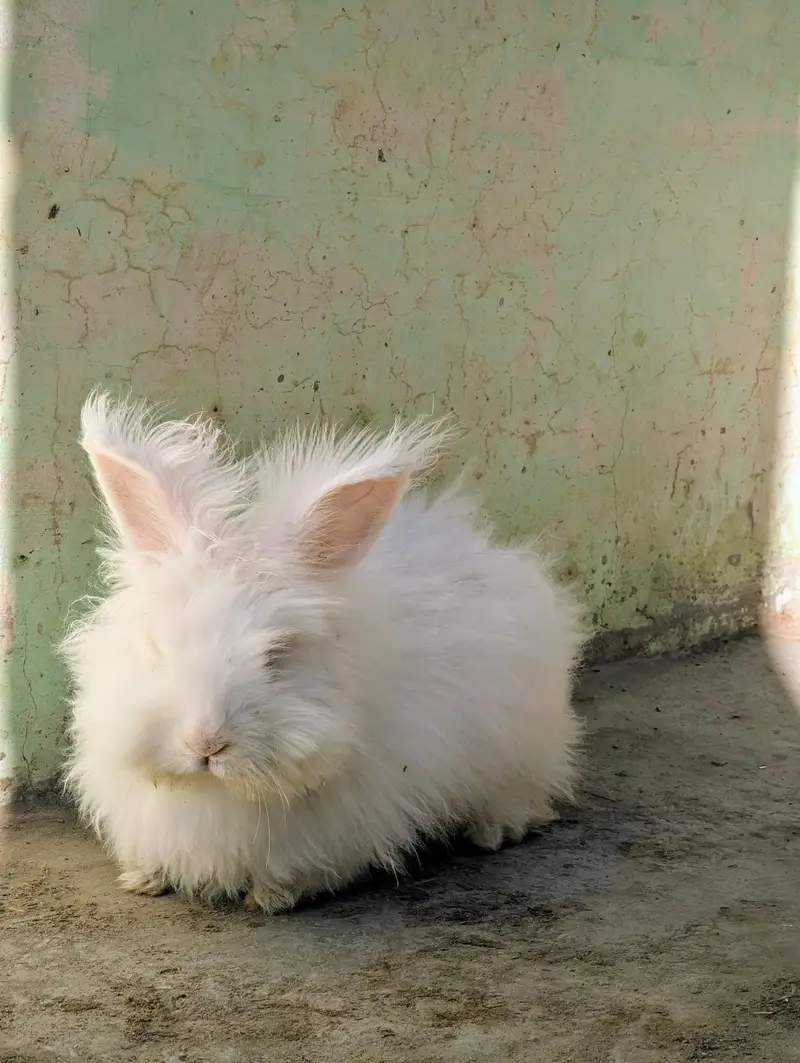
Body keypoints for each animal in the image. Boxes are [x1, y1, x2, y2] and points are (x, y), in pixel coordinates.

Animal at [61, 391, 585, 913]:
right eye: (158, 646)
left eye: (277, 655)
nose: (205, 743)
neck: (216, 792)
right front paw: (143, 878)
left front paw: (271, 897)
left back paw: (496, 831)